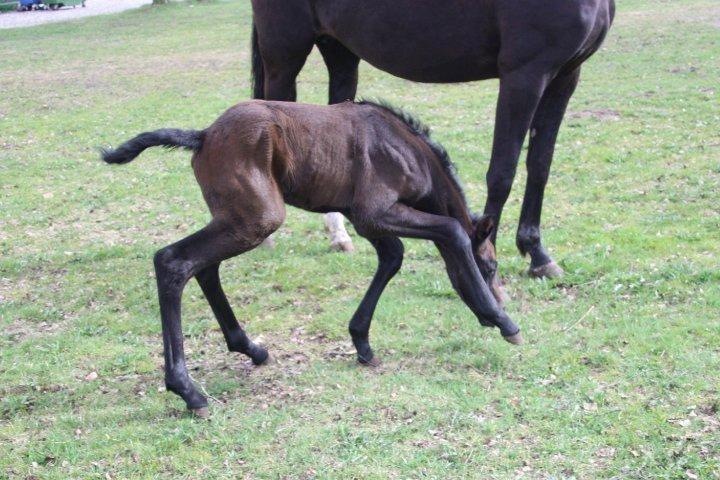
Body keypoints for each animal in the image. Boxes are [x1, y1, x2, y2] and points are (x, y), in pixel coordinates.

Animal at [101, 100, 520, 416]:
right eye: (489, 266)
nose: (501, 300)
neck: (405, 149)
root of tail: (204, 135)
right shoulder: (375, 212)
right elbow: (451, 231)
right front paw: (502, 320)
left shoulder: (364, 219)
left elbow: (393, 258)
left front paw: (362, 342)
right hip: (258, 218)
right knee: (173, 261)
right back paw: (188, 390)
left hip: (234, 218)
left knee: (204, 268)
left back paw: (251, 349)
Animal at [250, 0, 616, 282]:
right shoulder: (524, 75)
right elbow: (502, 172)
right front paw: (486, 259)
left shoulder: (565, 76)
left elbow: (539, 165)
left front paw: (538, 254)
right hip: (285, 54)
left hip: (339, 51)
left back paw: (338, 236)